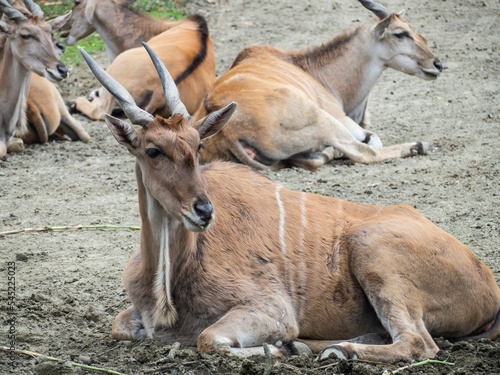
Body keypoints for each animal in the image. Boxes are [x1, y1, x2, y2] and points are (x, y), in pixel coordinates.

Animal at [80, 43, 498, 364]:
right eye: (153, 150)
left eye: (197, 147)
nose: (204, 211)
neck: (171, 279)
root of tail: (488, 285)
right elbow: (120, 327)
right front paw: (289, 347)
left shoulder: (270, 310)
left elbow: (208, 339)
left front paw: (279, 349)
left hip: (373, 251)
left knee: (418, 343)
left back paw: (336, 351)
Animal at [193, 0, 444, 170]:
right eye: (401, 33)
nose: (437, 64)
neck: (313, 69)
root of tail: (228, 131)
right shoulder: (344, 120)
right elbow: (372, 141)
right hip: (324, 120)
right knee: (364, 153)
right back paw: (415, 146)